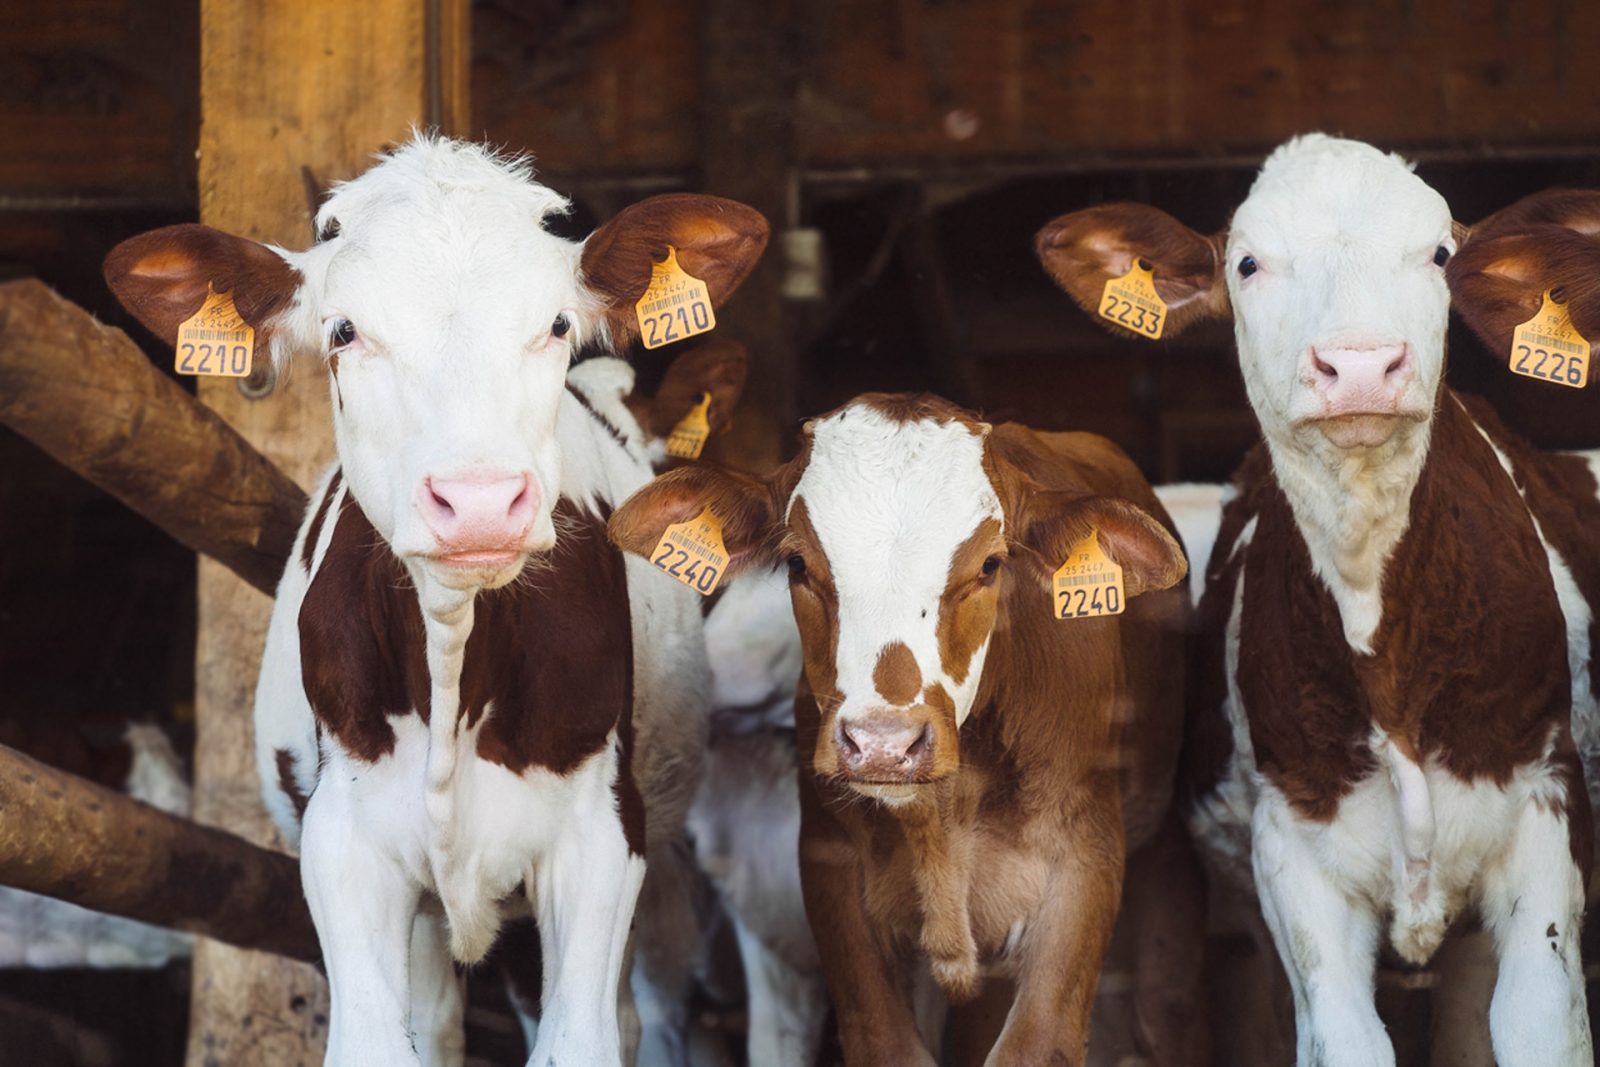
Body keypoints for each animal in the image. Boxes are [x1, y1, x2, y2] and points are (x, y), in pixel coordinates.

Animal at [106, 137, 768, 1067]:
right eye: (343, 330)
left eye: (557, 324)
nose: (480, 501)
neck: (454, 662)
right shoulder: (344, 842)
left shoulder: (601, 838)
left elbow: (578, 1038)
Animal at [1036, 133, 1600, 1067]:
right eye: (1248, 262)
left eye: (1440, 254)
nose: (1362, 364)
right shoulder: (1292, 858)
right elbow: (1343, 1040)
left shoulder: (1545, 806)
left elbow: (1537, 1027)